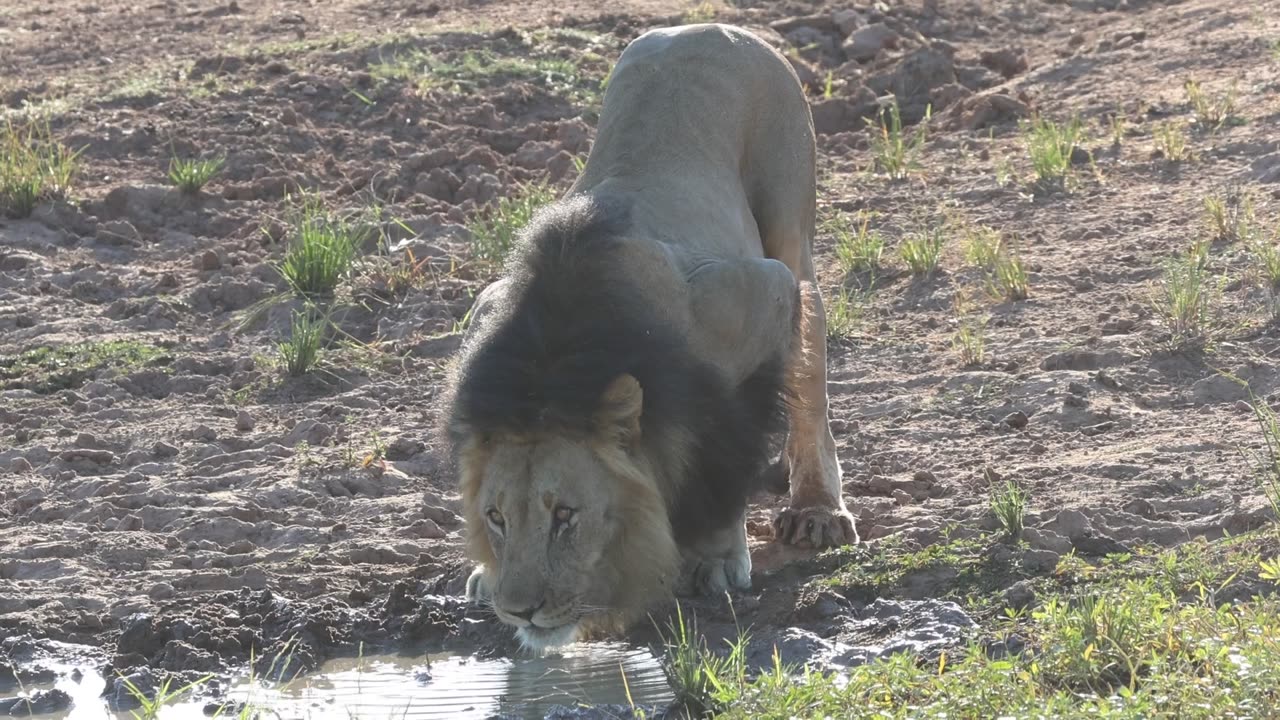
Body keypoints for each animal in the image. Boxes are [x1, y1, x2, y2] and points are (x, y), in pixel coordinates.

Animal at [442, 22, 860, 650]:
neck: (560, 356)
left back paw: (817, 510)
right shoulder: (484, 308)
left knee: (809, 370)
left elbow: (728, 446)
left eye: (565, 516)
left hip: (791, 226)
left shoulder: (755, 293)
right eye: (496, 518)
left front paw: (716, 557)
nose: (519, 611)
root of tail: (711, 26)